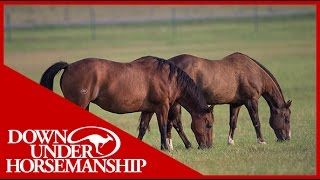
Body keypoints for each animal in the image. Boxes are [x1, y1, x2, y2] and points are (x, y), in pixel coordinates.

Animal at [40, 56, 215, 149]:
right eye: (208, 125)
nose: (208, 147)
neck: (169, 77)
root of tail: (69, 66)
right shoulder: (162, 107)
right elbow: (164, 126)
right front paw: (166, 147)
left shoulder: (149, 110)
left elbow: (143, 128)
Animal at [138, 52, 292, 149]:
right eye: (287, 119)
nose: (287, 138)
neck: (252, 71)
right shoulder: (251, 101)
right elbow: (256, 121)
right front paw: (261, 141)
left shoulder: (235, 104)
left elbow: (233, 123)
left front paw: (230, 142)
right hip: (175, 104)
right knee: (174, 122)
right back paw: (172, 145)